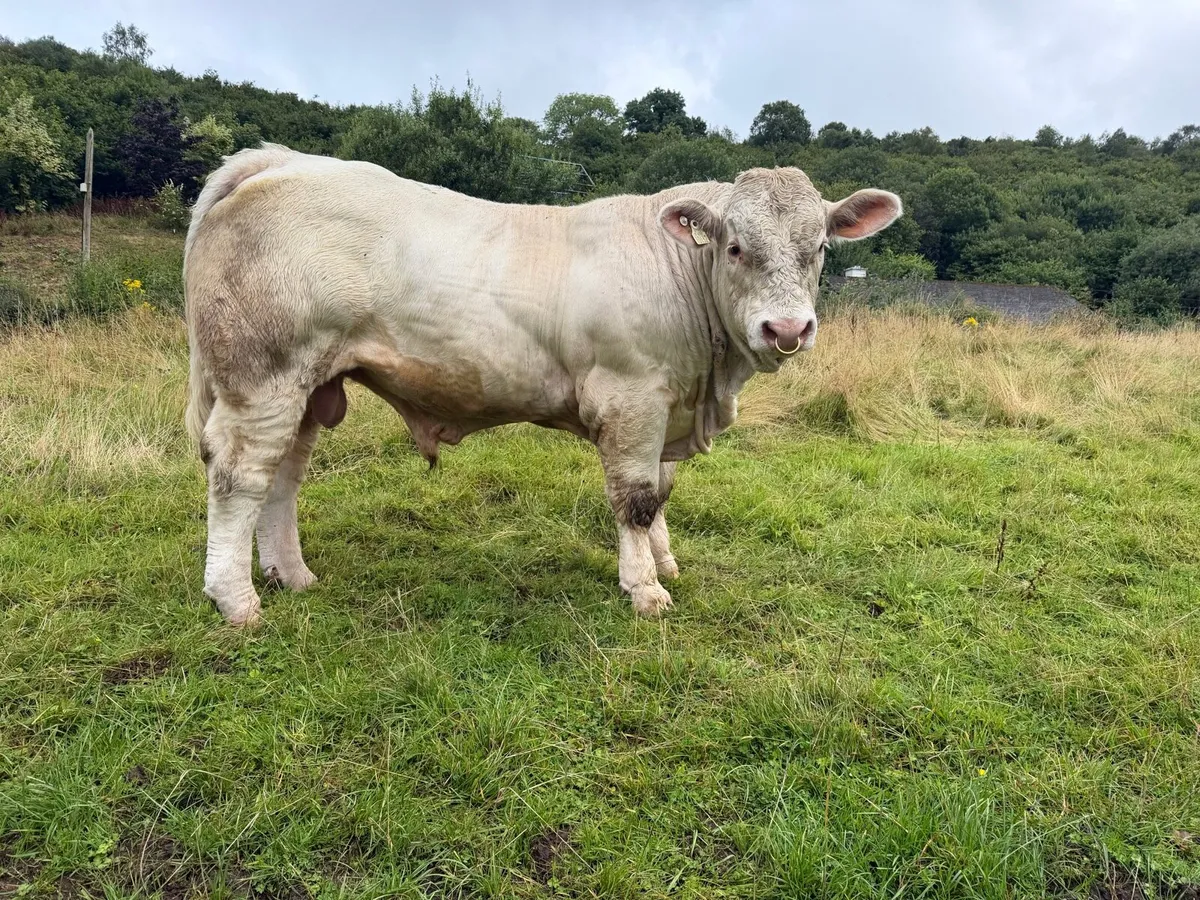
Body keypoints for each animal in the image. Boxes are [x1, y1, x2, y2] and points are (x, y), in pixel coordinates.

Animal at [184, 143, 902, 625]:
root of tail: (278, 161)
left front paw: (664, 560)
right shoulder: (631, 396)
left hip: (308, 385)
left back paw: (292, 574)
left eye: (819, 250)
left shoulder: (667, 407)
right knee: (241, 475)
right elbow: (636, 499)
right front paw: (645, 588)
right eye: (734, 248)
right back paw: (236, 599)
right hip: (263, 375)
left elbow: (663, 492)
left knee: (283, 476)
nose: (788, 328)